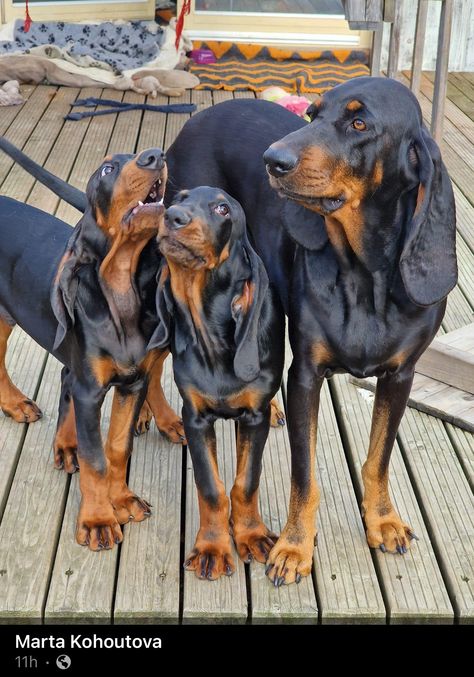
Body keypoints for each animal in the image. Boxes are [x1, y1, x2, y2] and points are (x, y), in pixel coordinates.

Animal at [0, 148, 175, 548]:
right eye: (107, 169)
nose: (155, 155)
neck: (121, 293)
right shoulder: (91, 390)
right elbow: (95, 458)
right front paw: (97, 519)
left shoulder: (132, 384)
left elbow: (117, 447)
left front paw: (121, 499)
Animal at [148, 187, 284, 580]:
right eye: (179, 197)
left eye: (223, 209)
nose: (172, 216)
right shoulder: (196, 417)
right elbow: (210, 487)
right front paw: (212, 547)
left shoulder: (252, 418)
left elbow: (245, 482)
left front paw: (251, 535)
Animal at [165, 78, 458, 588]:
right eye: (312, 115)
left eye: (359, 123)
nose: (273, 160)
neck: (364, 275)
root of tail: (198, 117)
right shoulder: (306, 375)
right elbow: (304, 474)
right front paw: (294, 548)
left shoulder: (401, 377)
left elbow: (379, 458)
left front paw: (382, 520)